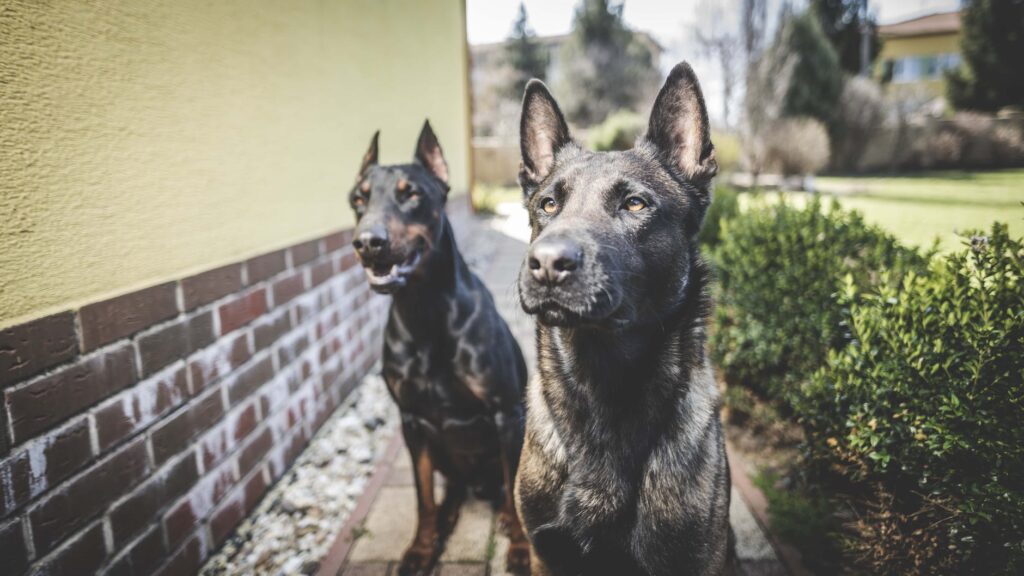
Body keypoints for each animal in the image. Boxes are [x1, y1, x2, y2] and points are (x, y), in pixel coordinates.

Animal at [350, 121, 532, 573]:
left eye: (411, 193)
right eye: (358, 198)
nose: (367, 242)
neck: (425, 311)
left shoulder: (506, 412)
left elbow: (514, 487)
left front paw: (521, 550)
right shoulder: (412, 420)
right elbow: (422, 497)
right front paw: (420, 548)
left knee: (506, 488)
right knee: (451, 489)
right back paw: (448, 518)